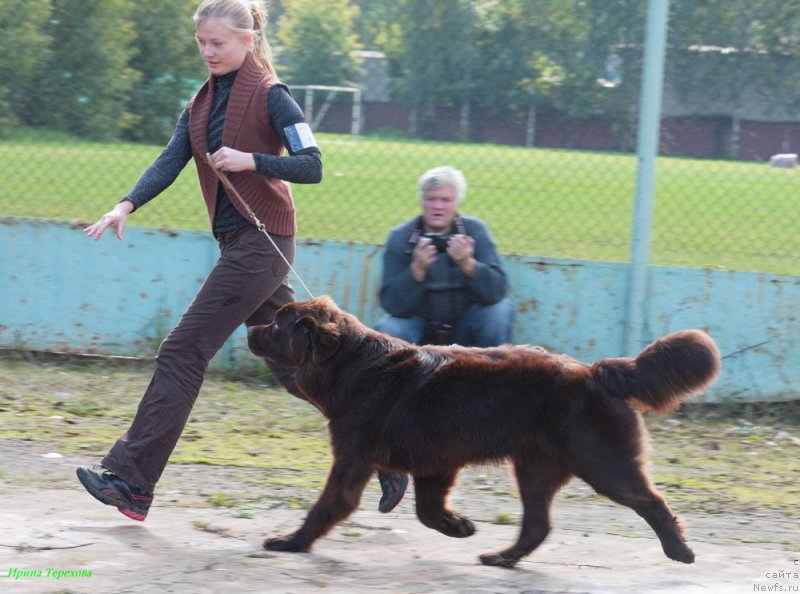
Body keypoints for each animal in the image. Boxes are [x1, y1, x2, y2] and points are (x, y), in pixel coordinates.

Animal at [247, 294, 720, 564]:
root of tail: (595, 373)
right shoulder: (434, 464)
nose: (251, 327)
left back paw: (680, 551)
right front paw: (460, 526)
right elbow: (427, 510)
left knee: (651, 501)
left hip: (602, 462)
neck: (351, 364)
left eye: (278, 323)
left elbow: (327, 505)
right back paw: (502, 557)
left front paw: (291, 542)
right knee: (537, 525)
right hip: (535, 467)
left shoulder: (353, 458)